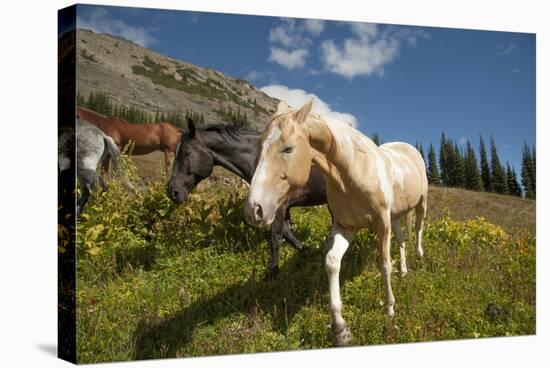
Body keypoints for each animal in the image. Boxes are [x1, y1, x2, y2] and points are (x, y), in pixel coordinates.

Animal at [168, 119, 330, 274]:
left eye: (186, 152)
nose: (172, 192)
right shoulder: (283, 207)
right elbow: (286, 233)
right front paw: (305, 250)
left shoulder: (278, 207)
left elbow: (275, 237)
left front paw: (273, 271)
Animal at [246, 100, 432, 344]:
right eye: (259, 145)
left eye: (288, 149)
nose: (254, 209)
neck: (353, 173)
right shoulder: (345, 227)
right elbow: (332, 262)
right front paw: (339, 329)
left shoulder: (382, 224)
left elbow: (384, 264)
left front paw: (390, 308)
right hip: (396, 216)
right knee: (401, 240)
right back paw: (404, 271)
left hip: (421, 203)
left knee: (418, 227)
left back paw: (419, 256)